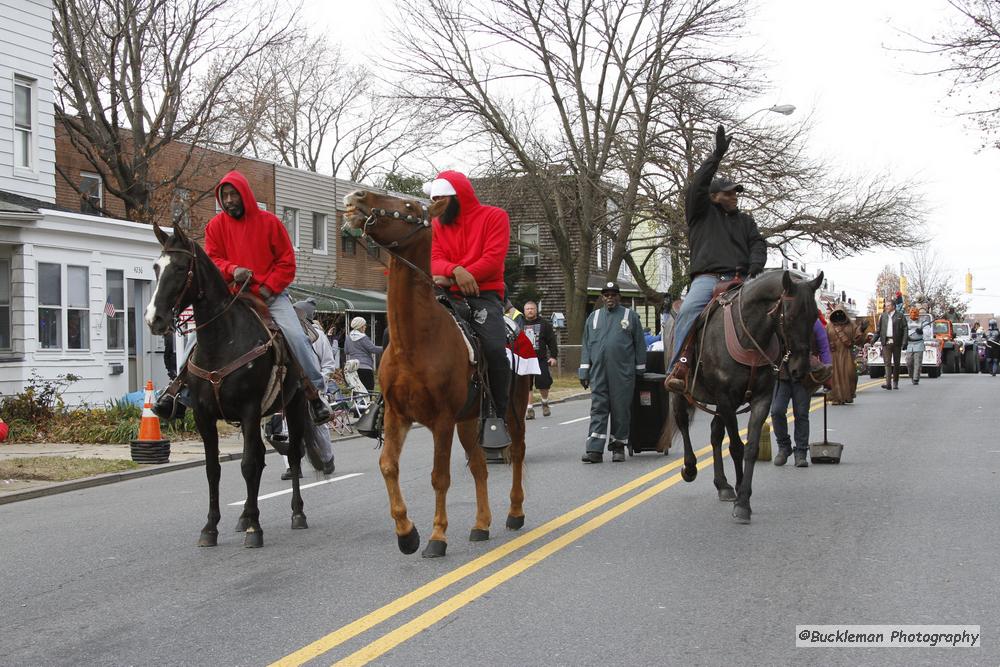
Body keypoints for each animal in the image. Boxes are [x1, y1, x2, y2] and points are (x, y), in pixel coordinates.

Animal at [143, 224, 316, 548]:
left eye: (181, 267)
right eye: (156, 267)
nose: (153, 318)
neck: (222, 340)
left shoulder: (249, 409)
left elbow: (248, 464)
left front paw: (255, 530)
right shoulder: (204, 415)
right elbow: (213, 470)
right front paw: (211, 528)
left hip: (295, 405)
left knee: (293, 455)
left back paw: (296, 514)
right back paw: (245, 516)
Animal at [344, 189, 532, 560]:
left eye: (408, 206)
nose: (357, 195)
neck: (414, 343)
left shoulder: (441, 420)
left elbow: (439, 476)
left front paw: (437, 536)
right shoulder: (398, 416)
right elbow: (388, 465)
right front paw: (406, 533)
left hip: (512, 408)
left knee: (516, 452)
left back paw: (515, 513)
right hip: (469, 419)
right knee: (479, 464)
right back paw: (481, 524)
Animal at [668, 268, 824, 524]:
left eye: (813, 318)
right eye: (790, 317)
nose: (799, 369)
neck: (749, 335)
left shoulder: (760, 399)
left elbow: (750, 448)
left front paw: (743, 497)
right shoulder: (725, 398)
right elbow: (736, 447)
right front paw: (741, 500)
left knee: (714, 434)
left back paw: (723, 485)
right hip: (681, 393)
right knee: (682, 422)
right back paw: (690, 468)